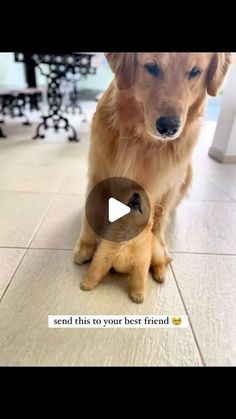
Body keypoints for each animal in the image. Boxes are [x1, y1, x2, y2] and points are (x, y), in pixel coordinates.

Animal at [74, 52, 232, 286]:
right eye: (151, 67)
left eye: (195, 71)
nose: (169, 127)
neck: (142, 140)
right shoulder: (98, 171)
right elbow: (91, 212)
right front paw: (85, 246)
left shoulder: (168, 183)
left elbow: (159, 220)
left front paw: (155, 249)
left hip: (187, 172)